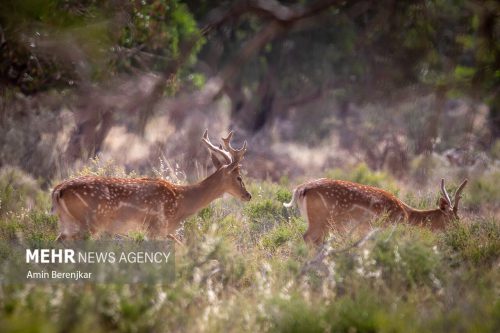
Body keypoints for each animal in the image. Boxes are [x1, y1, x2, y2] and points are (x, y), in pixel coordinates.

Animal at [52, 130, 252, 241]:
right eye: (239, 177)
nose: (248, 195)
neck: (182, 203)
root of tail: (58, 190)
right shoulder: (155, 226)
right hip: (89, 222)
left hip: (68, 221)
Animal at [286, 178, 468, 245]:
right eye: (454, 218)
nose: (461, 232)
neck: (407, 215)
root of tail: (300, 189)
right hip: (320, 219)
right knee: (307, 238)